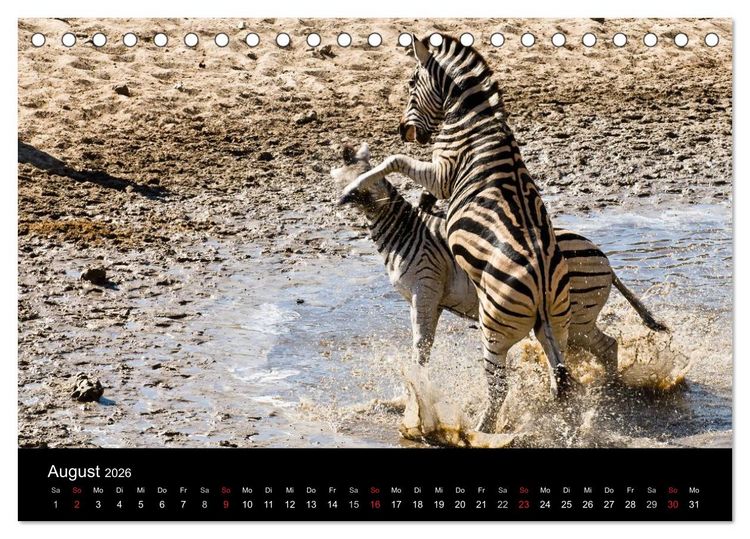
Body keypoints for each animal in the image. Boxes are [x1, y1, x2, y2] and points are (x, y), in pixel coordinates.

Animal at [334, 142, 667, 386]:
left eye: (358, 179)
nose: (342, 201)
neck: (404, 230)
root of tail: (605, 260)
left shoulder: (424, 291)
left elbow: (421, 349)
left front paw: (414, 389)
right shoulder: (433, 300)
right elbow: (424, 346)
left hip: (576, 320)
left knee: (607, 346)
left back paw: (610, 389)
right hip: (577, 321)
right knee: (607, 346)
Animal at [340, 34, 585, 432]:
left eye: (412, 83)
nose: (404, 131)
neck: (475, 119)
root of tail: (543, 281)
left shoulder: (442, 172)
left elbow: (394, 160)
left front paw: (356, 184)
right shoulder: (438, 178)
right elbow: (413, 181)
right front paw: (422, 205)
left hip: (494, 329)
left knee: (499, 387)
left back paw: (481, 430)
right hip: (556, 325)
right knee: (560, 380)